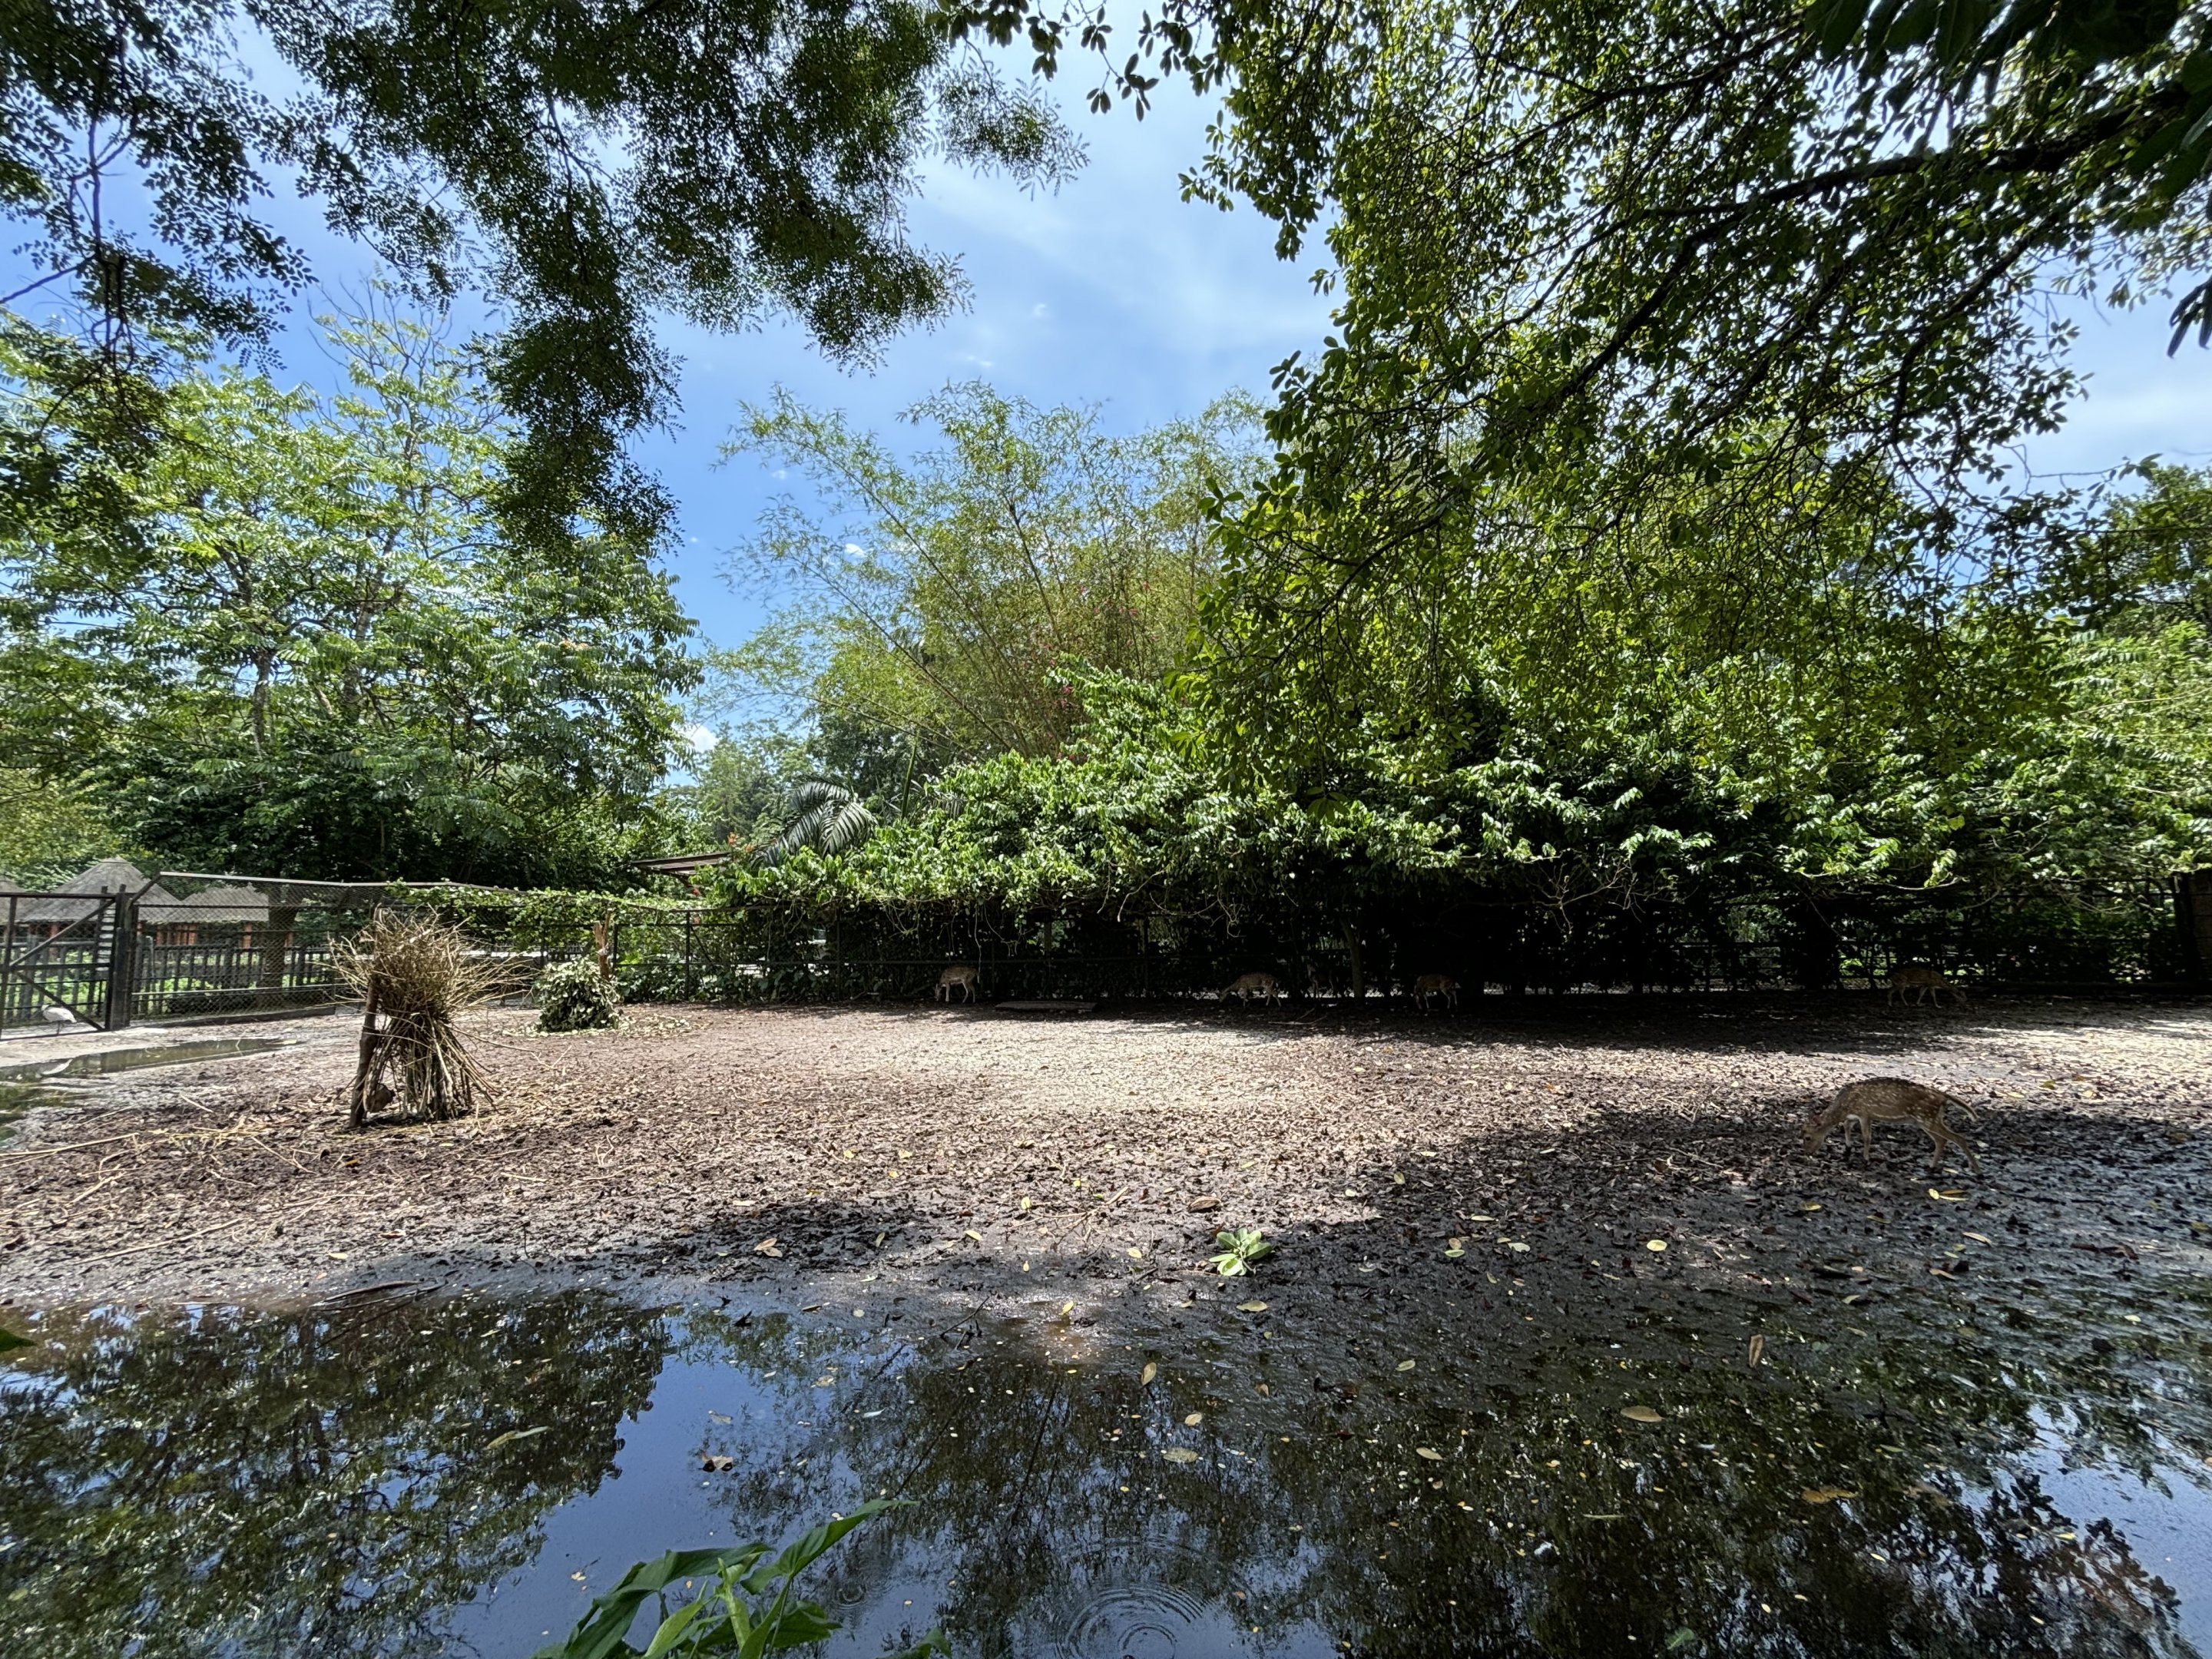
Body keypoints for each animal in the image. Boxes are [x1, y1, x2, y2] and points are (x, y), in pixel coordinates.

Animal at [1803, 1077, 1982, 1173]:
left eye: (1807, 1137)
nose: (1808, 1153)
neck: (1844, 1105)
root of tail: (1944, 1097)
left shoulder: (1865, 1113)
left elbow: (1867, 1137)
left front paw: (1865, 1159)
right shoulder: (1854, 1116)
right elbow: (1846, 1126)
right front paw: (1847, 1150)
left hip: (1927, 1118)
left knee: (1958, 1138)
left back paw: (1978, 1171)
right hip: (1925, 1120)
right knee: (1942, 1140)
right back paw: (1931, 1167)